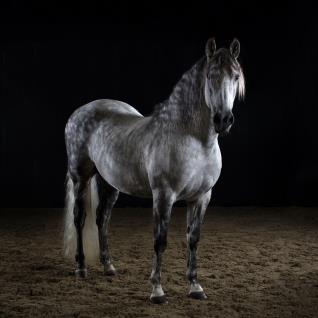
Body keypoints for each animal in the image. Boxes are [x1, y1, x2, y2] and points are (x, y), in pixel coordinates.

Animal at [63, 37, 245, 304]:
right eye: (211, 75)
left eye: (235, 76)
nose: (223, 120)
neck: (194, 139)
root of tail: (80, 111)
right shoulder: (163, 196)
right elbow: (160, 241)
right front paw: (157, 291)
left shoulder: (201, 197)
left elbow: (193, 239)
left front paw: (195, 287)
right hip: (81, 177)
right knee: (80, 218)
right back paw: (81, 268)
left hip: (109, 183)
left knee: (101, 218)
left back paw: (108, 267)